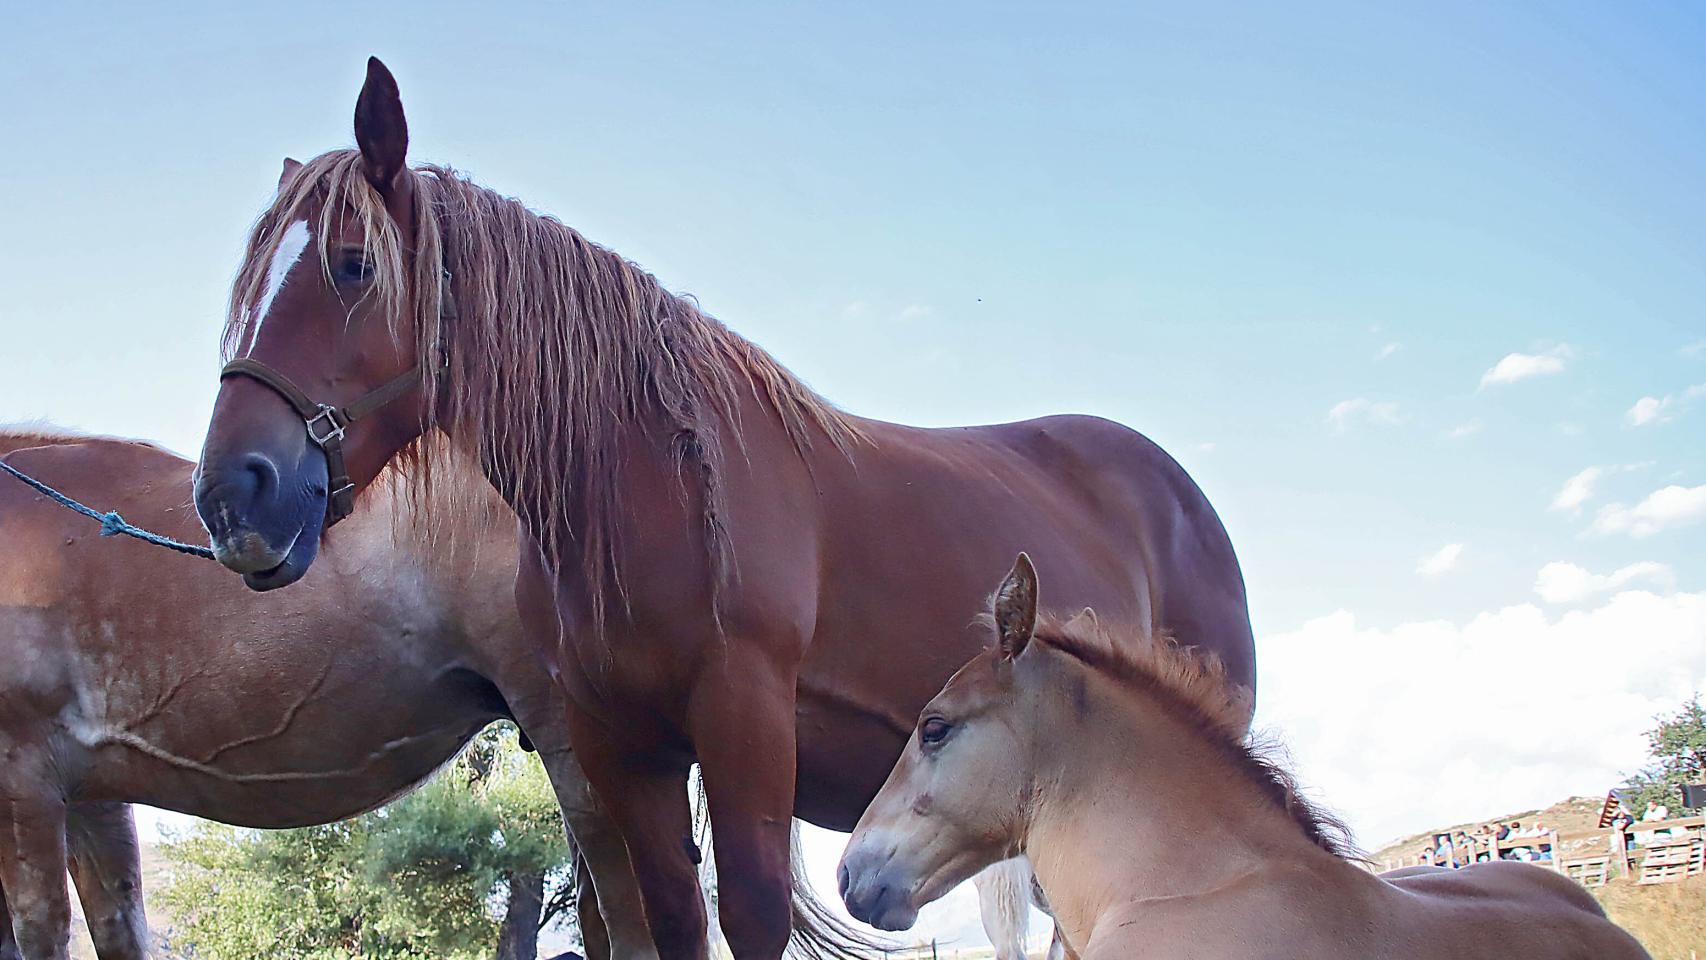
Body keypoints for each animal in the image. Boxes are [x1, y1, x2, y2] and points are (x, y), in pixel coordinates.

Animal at [190, 58, 1256, 960]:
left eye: (354, 264)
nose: (231, 492)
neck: (642, 483)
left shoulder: (744, 723)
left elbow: (749, 915)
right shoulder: (624, 749)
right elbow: (673, 918)